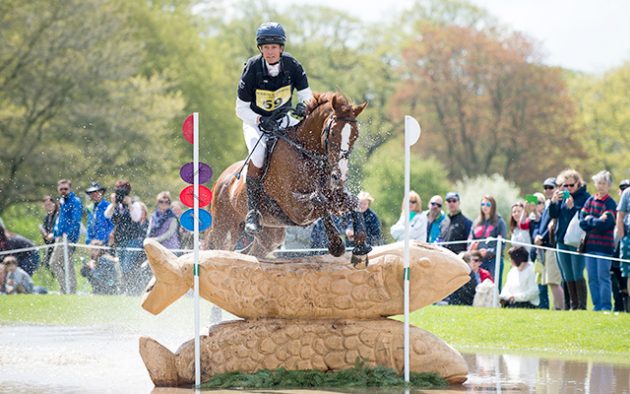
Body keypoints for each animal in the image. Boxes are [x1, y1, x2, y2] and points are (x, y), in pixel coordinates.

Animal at [205, 92, 372, 264]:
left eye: (355, 136)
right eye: (332, 133)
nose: (340, 176)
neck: (306, 154)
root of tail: (220, 181)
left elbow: (352, 202)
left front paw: (360, 249)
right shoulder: (294, 209)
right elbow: (319, 201)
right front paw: (336, 245)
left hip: (271, 236)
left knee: (251, 252)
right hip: (224, 227)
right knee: (216, 246)